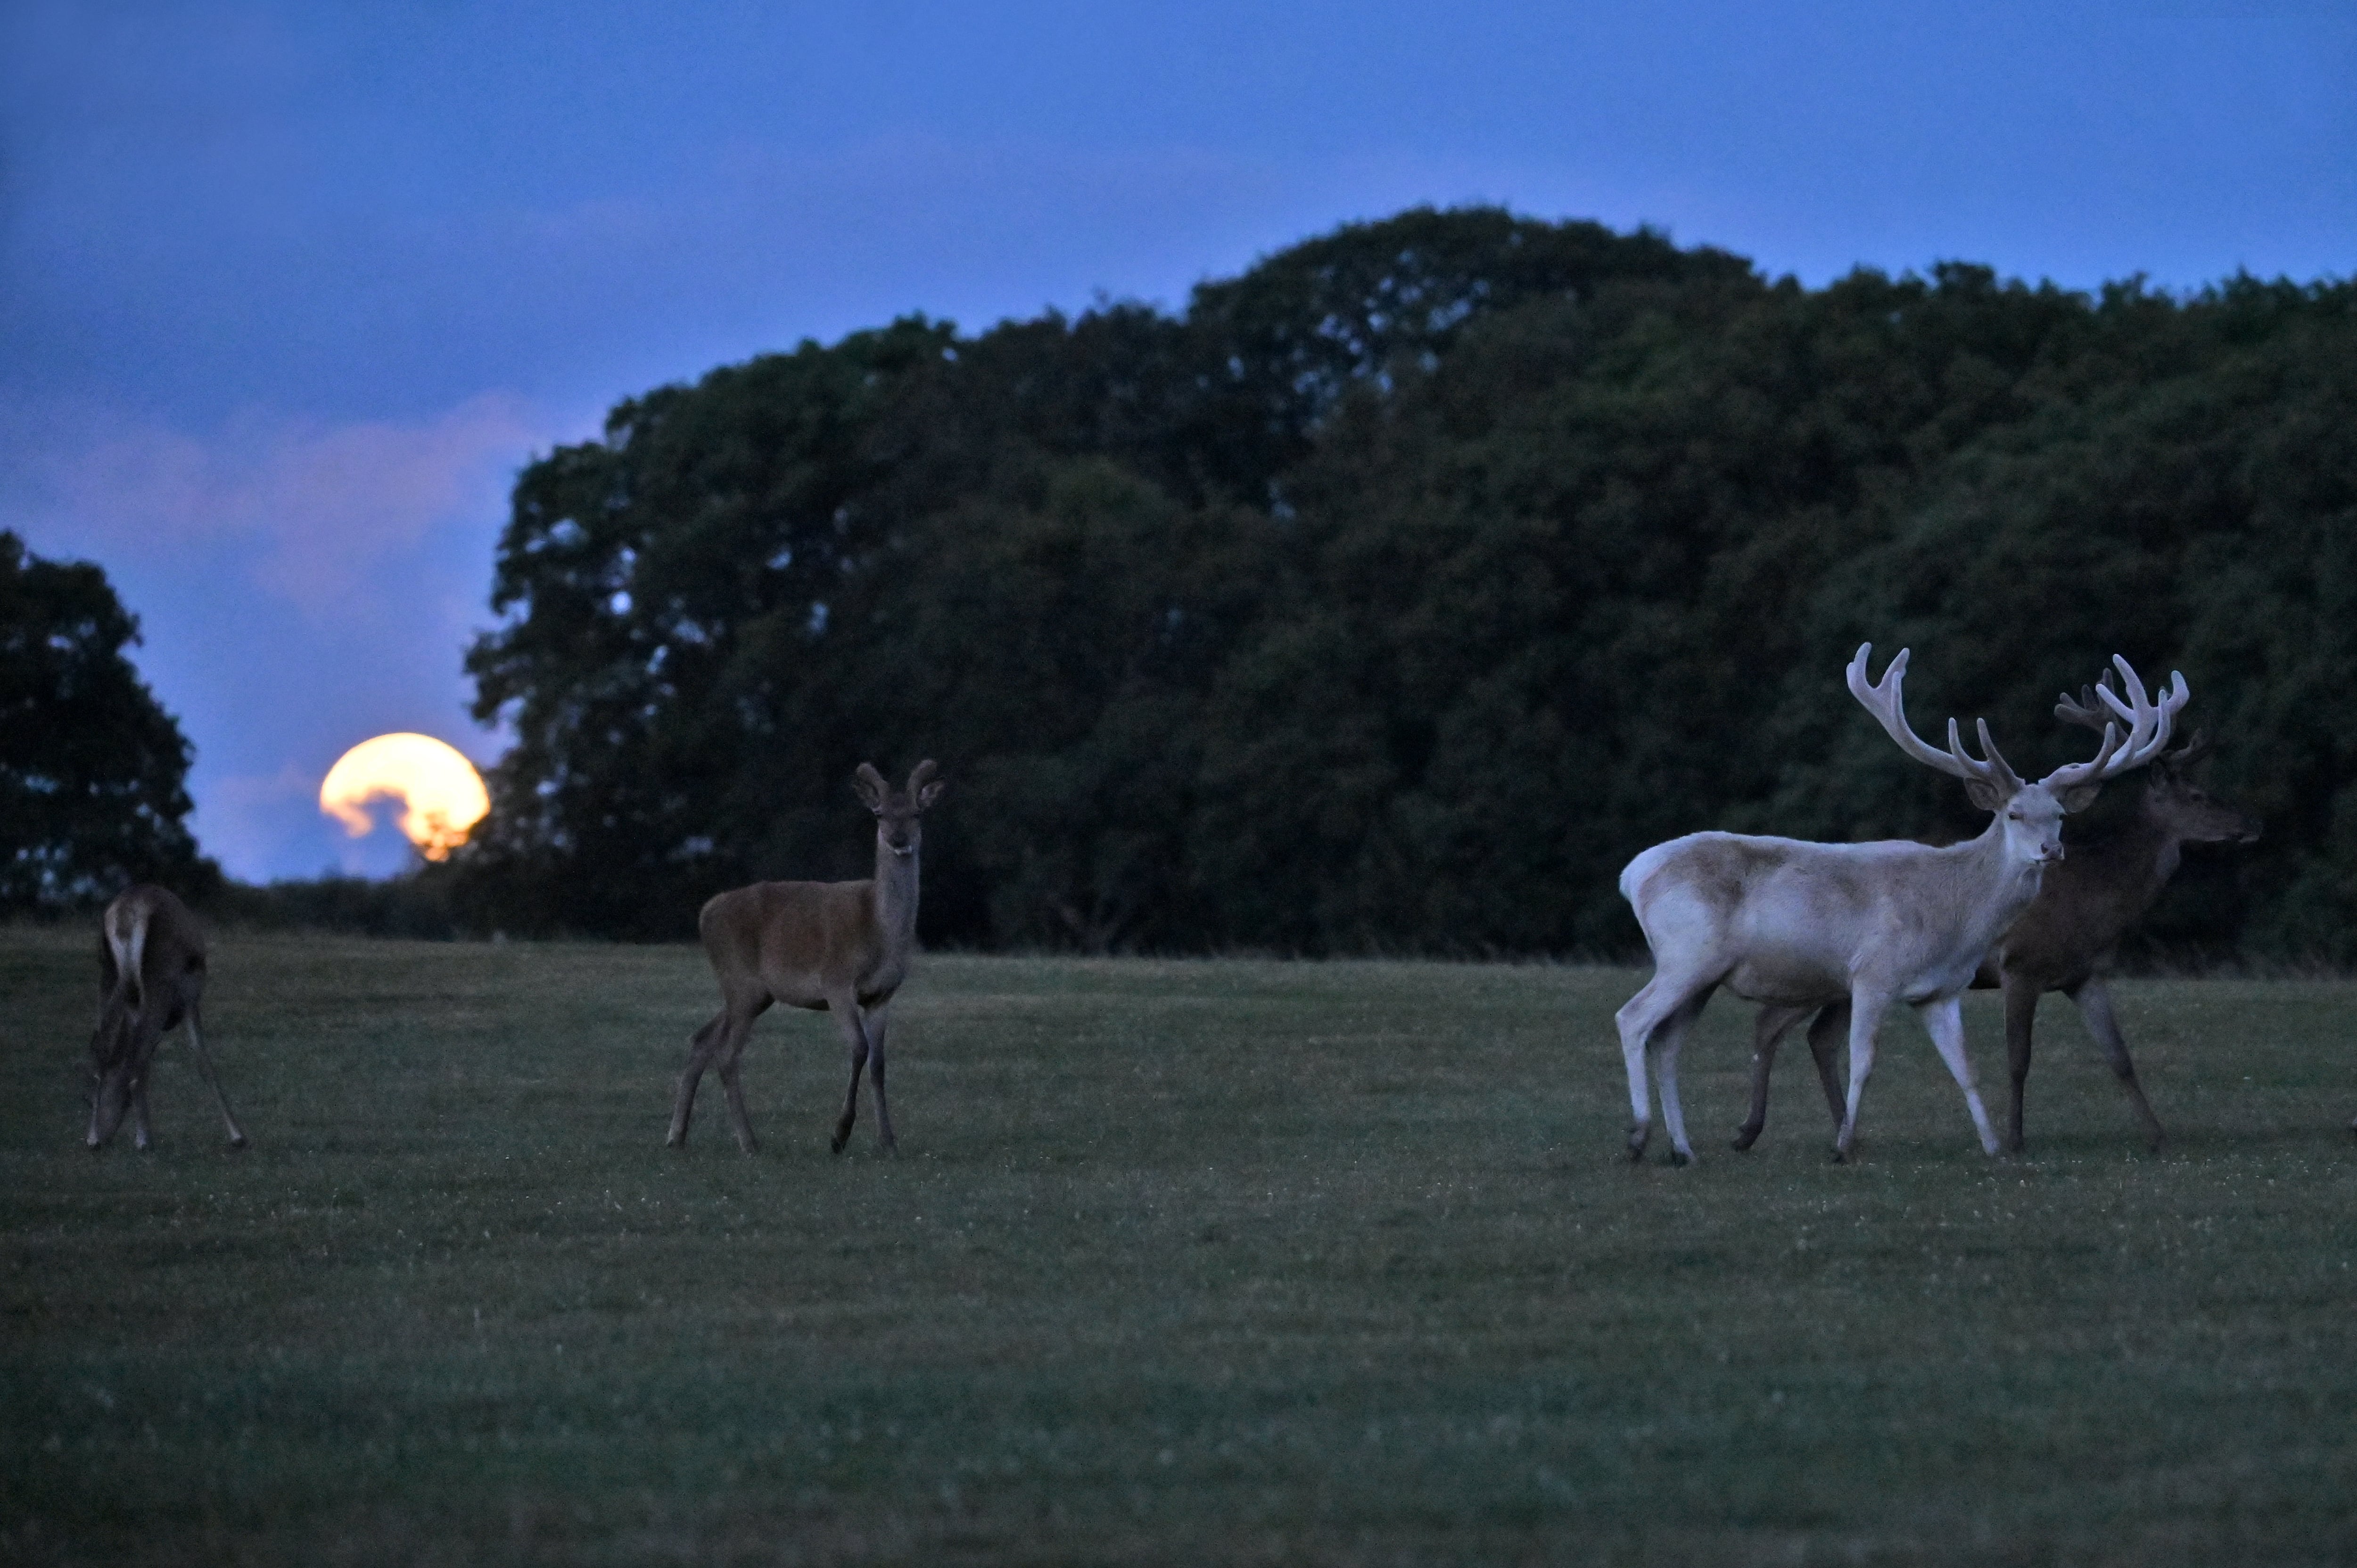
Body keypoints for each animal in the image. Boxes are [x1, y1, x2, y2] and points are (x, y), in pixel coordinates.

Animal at [86, 882, 247, 1150]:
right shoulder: (189, 998)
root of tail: (125, 917)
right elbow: (202, 1058)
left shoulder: (135, 1005)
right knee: (137, 1053)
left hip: (110, 975)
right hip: (159, 981)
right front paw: (238, 1136)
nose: (105, 1136)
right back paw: (145, 1141)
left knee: (105, 1045)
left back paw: (97, 1137)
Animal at [669, 763, 943, 1155]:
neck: (879, 933)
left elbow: (879, 1064)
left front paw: (889, 1140)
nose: (898, 839)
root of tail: (706, 912)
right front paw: (839, 1135)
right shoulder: (836, 981)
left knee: (701, 1039)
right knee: (726, 1052)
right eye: (879, 814)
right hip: (740, 980)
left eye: (917, 813)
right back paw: (749, 1142)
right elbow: (859, 1048)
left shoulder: (883, 994)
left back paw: (676, 1136)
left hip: (752, 992)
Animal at [1612, 641, 2178, 1160]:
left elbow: (1967, 1068)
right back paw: (1639, 1136)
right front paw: (1843, 1146)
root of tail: (1632, 874)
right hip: (1686, 953)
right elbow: (1862, 1059)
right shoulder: (1871, 972)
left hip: (1705, 973)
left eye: (2060, 815)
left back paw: (1683, 1149)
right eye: (2013, 814)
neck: (1954, 921)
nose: (2051, 850)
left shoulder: (1941, 991)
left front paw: (1994, 1147)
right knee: (1633, 1018)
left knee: (1667, 1041)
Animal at [1744, 683, 2253, 1150]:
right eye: (2197, 795)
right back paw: (1755, 1130)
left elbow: (2119, 1056)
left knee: (1818, 1037)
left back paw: (1839, 1132)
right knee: (1772, 1022)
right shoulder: (2020, 966)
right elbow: (2018, 1059)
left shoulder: (2085, 974)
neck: (2094, 900)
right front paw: (2014, 1138)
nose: (2252, 824)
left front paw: (2157, 1136)